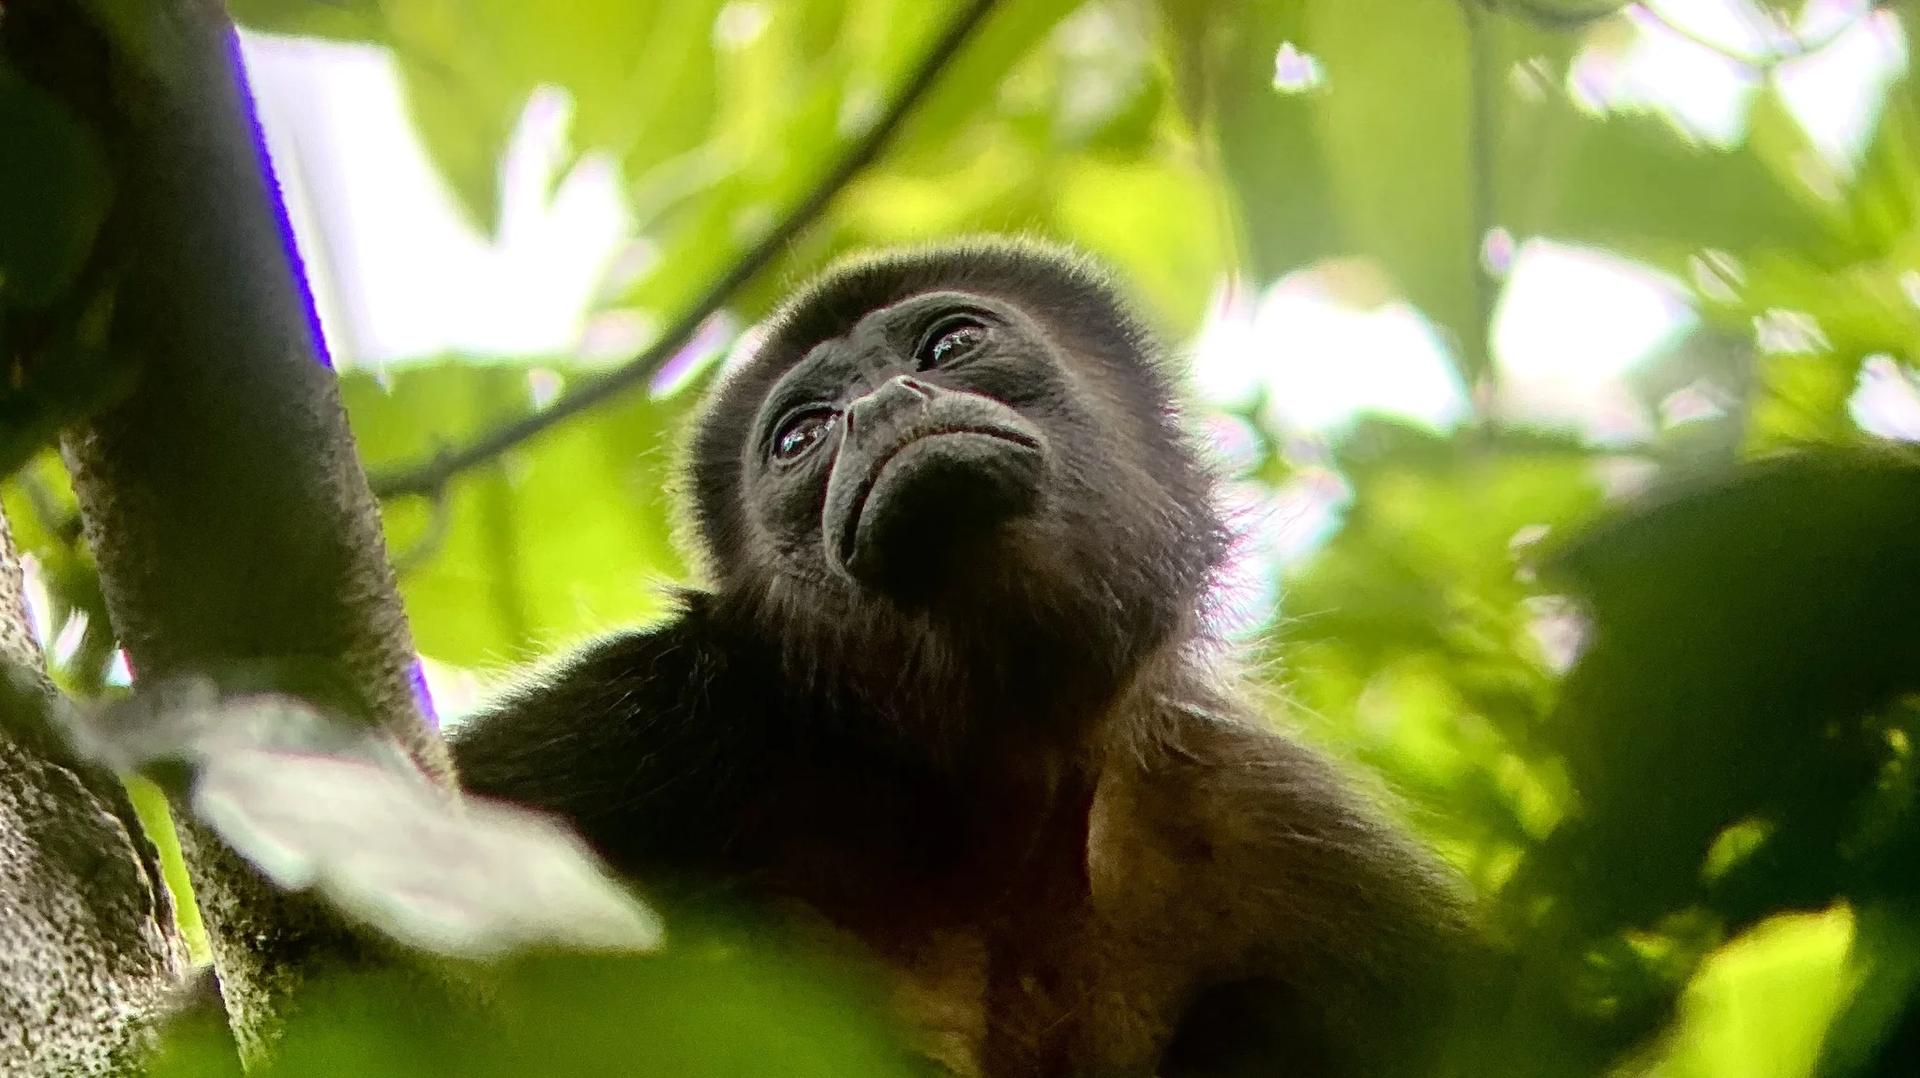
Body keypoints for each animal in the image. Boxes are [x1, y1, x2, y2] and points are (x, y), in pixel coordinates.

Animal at [449, 240, 1467, 1076]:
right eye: (802, 434)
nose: (882, 404)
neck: (986, 793)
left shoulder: (1293, 840)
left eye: (948, 347)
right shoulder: (664, 721)